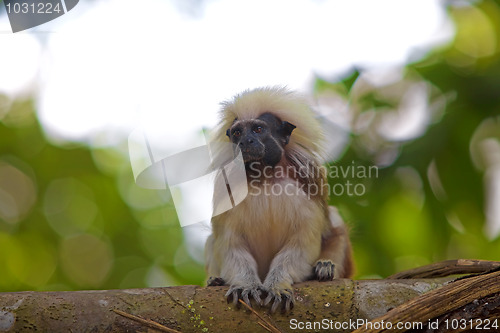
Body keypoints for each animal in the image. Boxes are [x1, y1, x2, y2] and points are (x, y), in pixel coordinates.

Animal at [205, 85, 354, 312]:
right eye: (238, 132)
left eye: (258, 129)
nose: (245, 142)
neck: (266, 178)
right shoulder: (228, 190)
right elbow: (231, 245)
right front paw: (246, 284)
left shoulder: (306, 187)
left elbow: (301, 245)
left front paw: (277, 285)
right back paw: (215, 280)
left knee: (336, 228)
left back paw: (325, 267)